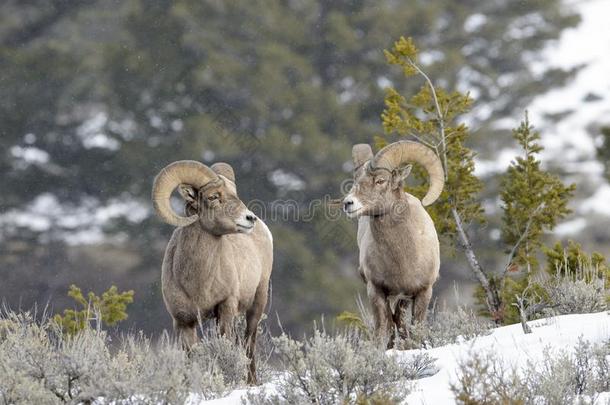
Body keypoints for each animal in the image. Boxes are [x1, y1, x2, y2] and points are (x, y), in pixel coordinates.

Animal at [152, 159, 274, 384]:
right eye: (213, 197)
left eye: (234, 192)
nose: (249, 218)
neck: (197, 283)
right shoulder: (183, 321)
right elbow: (191, 356)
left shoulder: (225, 308)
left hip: (257, 302)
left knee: (248, 344)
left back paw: (251, 381)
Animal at [340, 140, 440, 346]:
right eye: (355, 180)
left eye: (380, 181)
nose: (348, 203)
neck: (402, 258)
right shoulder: (376, 291)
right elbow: (382, 329)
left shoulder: (423, 292)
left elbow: (416, 328)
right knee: (392, 322)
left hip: (404, 299)